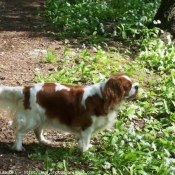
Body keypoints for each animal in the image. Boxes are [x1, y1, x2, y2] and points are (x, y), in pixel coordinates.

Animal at [0, 72, 139, 152]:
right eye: (128, 86)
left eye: (132, 84)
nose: (137, 86)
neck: (103, 97)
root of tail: (27, 89)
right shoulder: (87, 126)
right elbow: (86, 140)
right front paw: (86, 151)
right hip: (31, 119)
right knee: (20, 133)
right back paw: (18, 148)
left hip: (42, 117)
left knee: (38, 131)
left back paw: (44, 141)